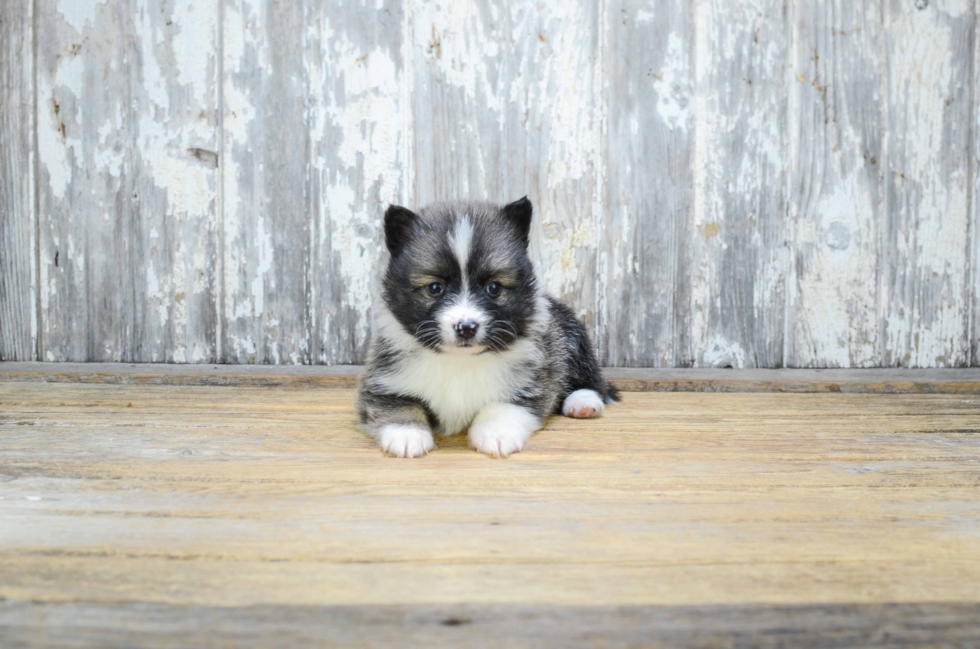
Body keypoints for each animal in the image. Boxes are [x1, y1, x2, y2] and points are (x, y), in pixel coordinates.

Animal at [358, 197, 620, 456]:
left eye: (493, 288)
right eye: (434, 288)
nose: (466, 327)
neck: (460, 361)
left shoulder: (531, 382)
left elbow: (504, 405)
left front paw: (496, 433)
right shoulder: (383, 382)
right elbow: (399, 405)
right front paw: (406, 434)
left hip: (572, 335)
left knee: (591, 379)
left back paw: (583, 402)